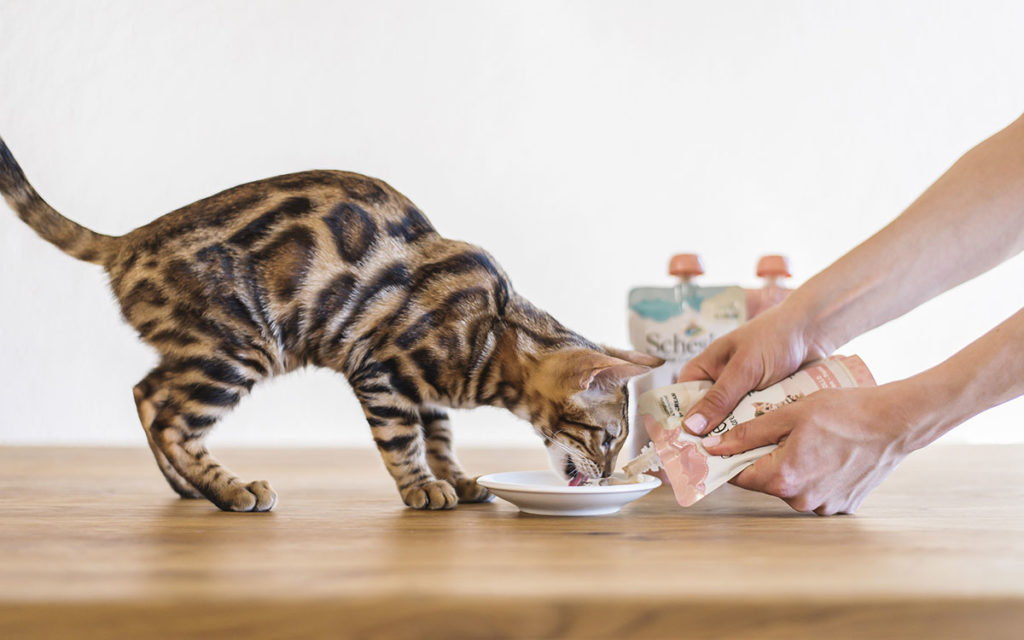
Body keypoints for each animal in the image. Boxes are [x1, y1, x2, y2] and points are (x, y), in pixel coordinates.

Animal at [0, 137, 663, 512]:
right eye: (609, 437)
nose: (608, 477)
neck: (494, 329)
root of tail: (128, 241)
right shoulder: (383, 371)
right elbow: (404, 441)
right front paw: (423, 488)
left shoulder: (424, 388)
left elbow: (440, 434)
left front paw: (456, 477)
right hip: (239, 349)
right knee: (170, 418)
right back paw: (230, 490)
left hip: (203, 350)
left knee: (145, 393)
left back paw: (190, 488)